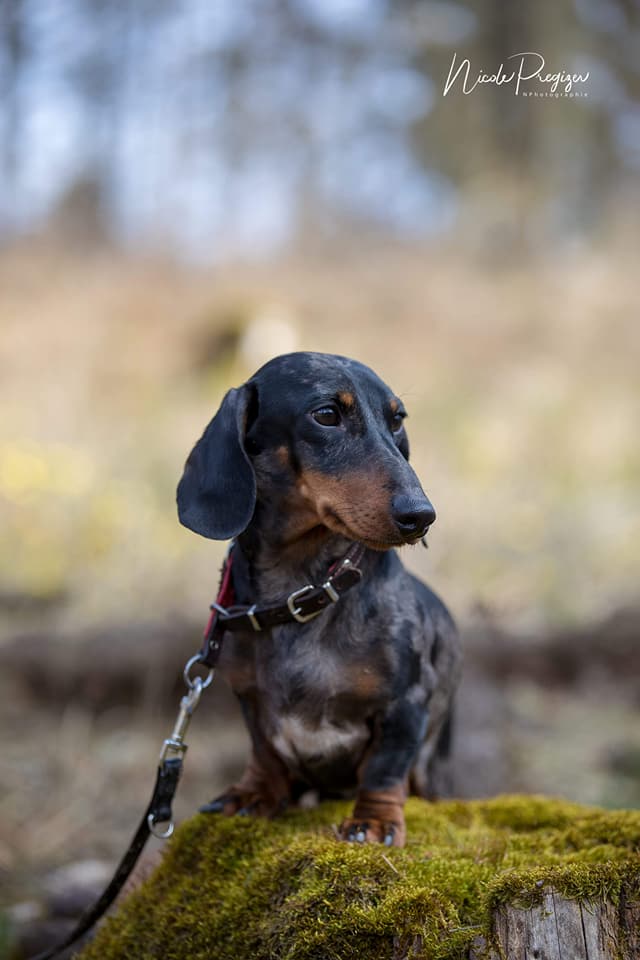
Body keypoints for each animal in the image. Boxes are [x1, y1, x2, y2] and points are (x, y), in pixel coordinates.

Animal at [178, 352, 460, 848]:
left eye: (397, 419)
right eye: (326, 415)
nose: (421, 516)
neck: (303, 594)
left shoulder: (405, 704)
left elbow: (385, 768)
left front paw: (374, 821)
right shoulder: (249, 699)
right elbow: (265, 751)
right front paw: (256, 793)